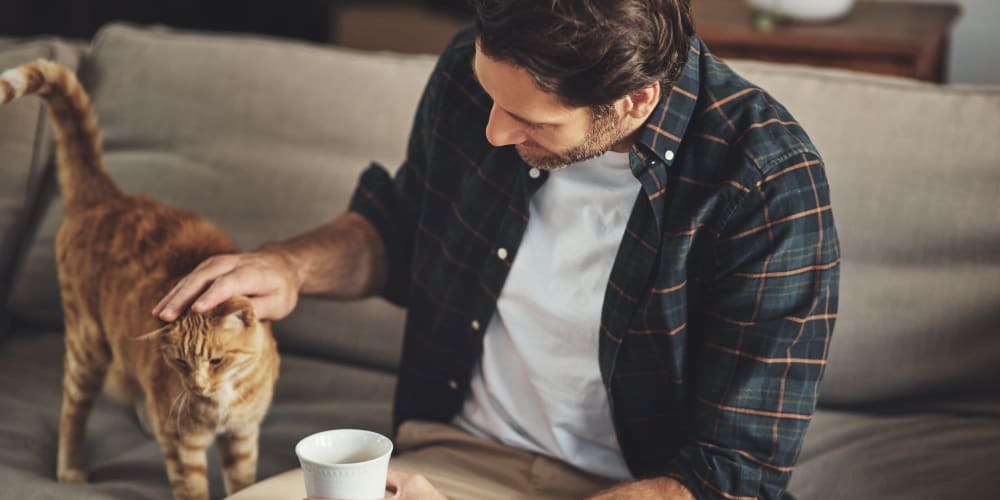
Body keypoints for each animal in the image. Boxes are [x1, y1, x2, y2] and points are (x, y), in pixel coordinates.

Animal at [1, 60, 282, 498]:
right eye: (181, 363)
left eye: (216, 361)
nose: (197, 387)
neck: (221, 403)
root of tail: (109, 197)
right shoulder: (182, 444)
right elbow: (192, 489)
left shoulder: (242, 436)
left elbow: (244, 483)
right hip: (87, 346)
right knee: (72, 412)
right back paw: (71, 469)